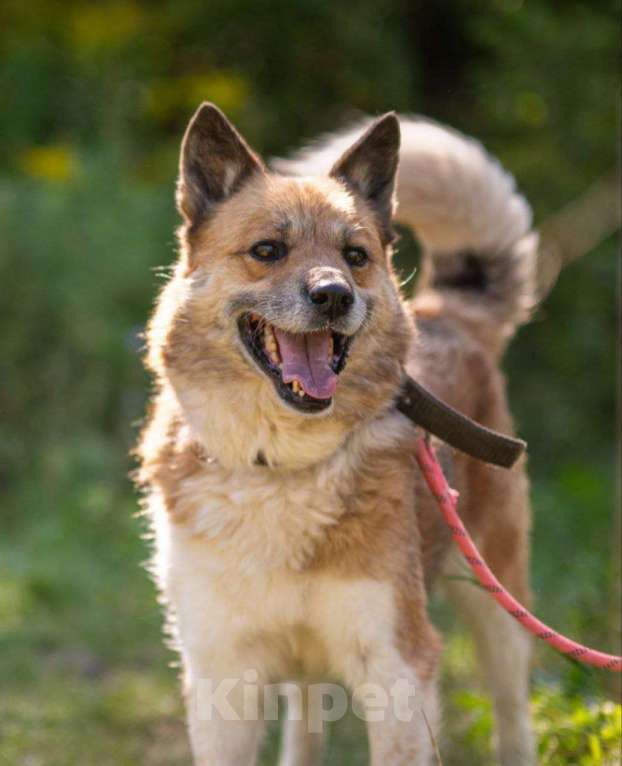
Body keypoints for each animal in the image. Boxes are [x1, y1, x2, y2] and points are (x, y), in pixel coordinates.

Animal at [138, 103, 540, 766]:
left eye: (355, 255)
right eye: (267, 250)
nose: (333, 295)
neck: (279, 465)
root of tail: (447, 314)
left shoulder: (398, 667)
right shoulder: (223, 673)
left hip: (497, 597)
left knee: (513, 711)